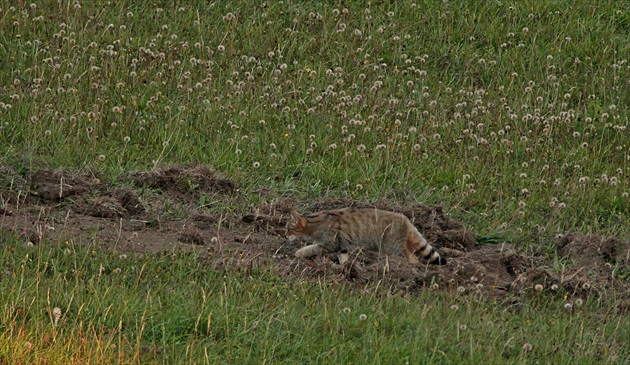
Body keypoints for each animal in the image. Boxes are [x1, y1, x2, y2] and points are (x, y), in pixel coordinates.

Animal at [286, 208, 450, 264]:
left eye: (288, 229)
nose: (285, 235)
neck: (313, 225)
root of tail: (407, 220)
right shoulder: (341, 246)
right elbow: (344, 258)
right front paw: (346, 269)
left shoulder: (330, 243)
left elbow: (311, 248)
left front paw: (299, 253)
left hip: (393, 248)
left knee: (413, 259)